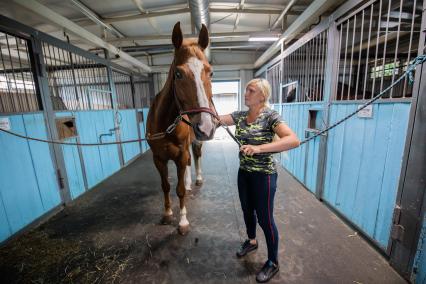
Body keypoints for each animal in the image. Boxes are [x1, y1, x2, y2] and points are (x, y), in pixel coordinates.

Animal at [146, 22, 216, 235]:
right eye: (178, 74)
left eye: (211, 72)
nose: (206, 126)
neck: (165, 125)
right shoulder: (159, 158)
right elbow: (166, 186)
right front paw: (168, 214)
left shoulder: (180, 154)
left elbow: (180, 190)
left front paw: (183, 222)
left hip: (193, 143)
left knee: (196, 155)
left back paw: (198, 179)